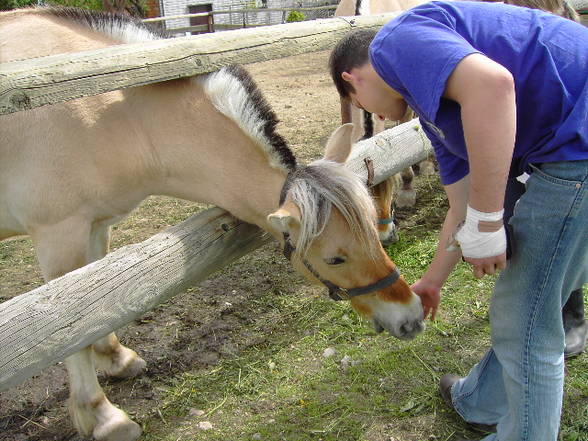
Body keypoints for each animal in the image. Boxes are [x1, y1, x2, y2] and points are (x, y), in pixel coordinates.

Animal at [0, 7, 424, 440]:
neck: (111, 117)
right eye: (335, 259)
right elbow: (70, 331)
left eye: (372, 231)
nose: (411, 317)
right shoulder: (59, 235)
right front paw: (102, 416)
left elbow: (92, 308)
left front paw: (116, 359)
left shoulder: (97, 226)